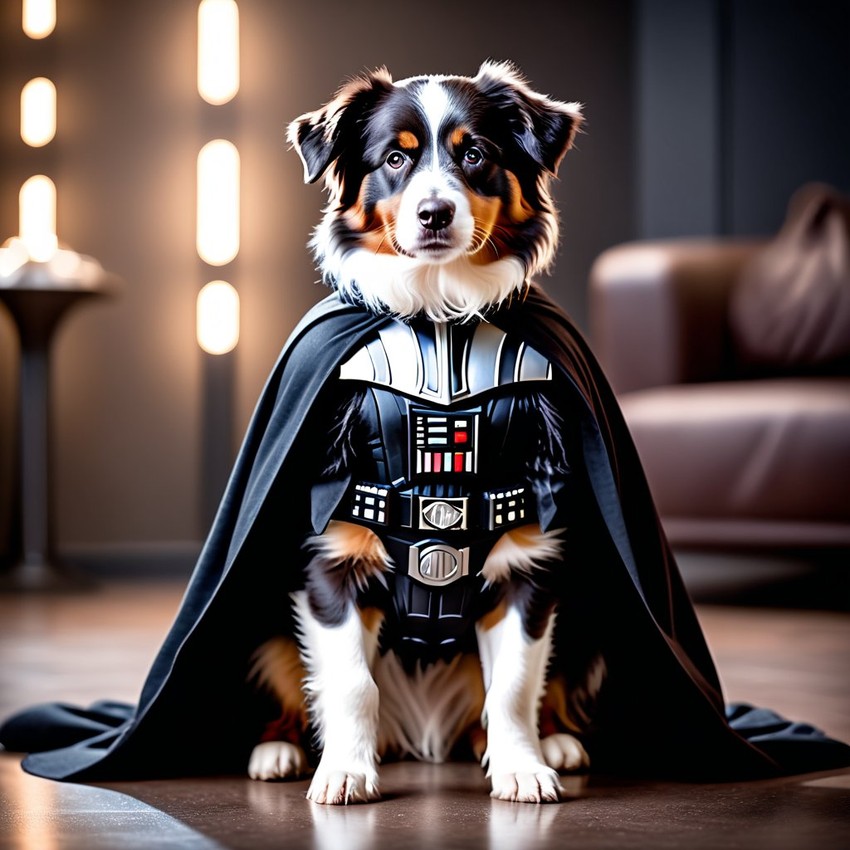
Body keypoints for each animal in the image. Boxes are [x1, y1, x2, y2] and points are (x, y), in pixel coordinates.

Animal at [243, 59, 596, 800]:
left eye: (476, 154)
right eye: (395, 158)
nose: (435, 213)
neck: (438, 316)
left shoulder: (530, 566)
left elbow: (513, 685)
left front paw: (522, 767)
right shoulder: (331, 564)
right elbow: (350, 684)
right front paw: (345, 770)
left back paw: (553, 741)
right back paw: (279, 751)